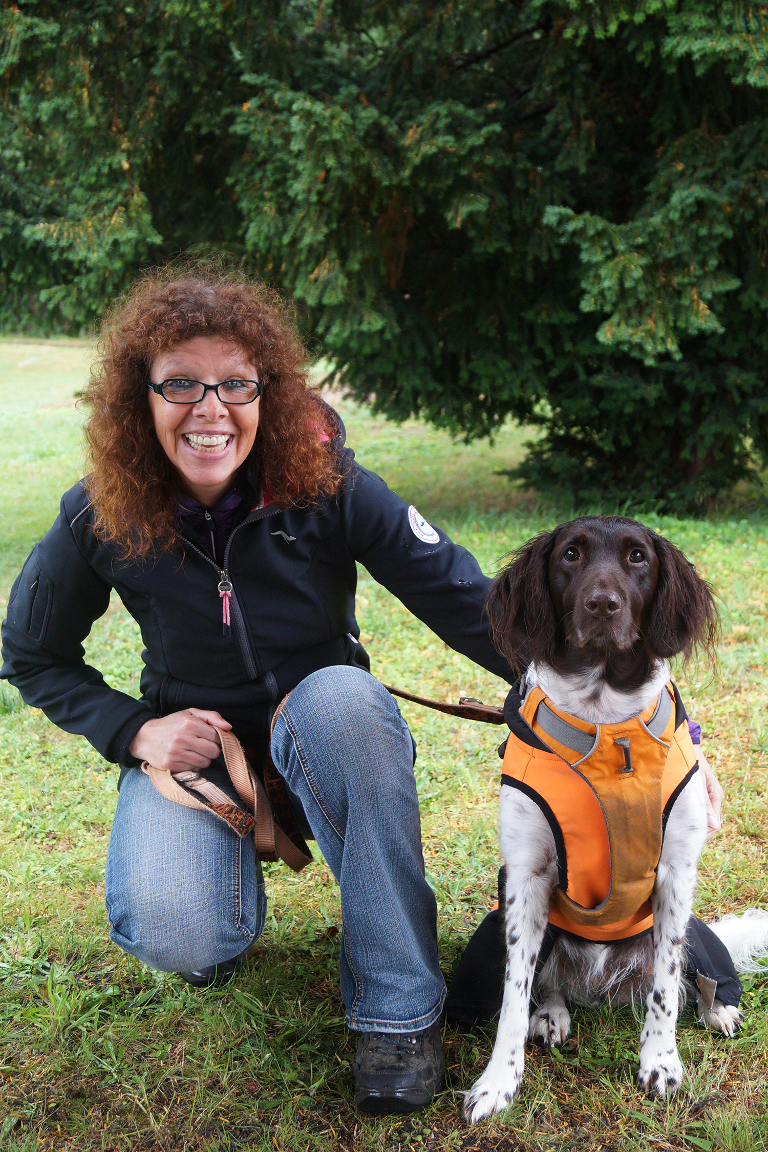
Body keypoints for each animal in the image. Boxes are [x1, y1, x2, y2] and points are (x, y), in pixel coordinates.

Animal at [462, 518, 768, 1119]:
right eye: (571, 555)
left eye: (637, 558)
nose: (602, 605)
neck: (607, 728)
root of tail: (604, 986)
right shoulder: (525, 878)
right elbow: (514, 993)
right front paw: (498, 1082)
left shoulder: (676, 873)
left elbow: (666, 985)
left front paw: (661, 1062)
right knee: (547, 982)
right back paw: (552, 1013)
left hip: (700, 936)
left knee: (702, 979)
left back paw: (719, 1009)